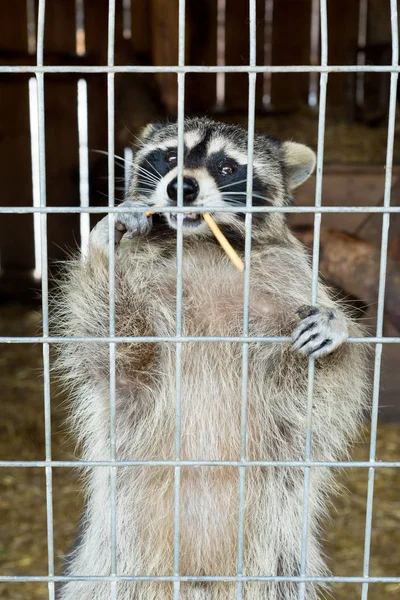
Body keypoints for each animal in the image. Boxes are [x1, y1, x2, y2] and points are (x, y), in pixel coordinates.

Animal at [54, 117, 370, 600]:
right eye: (170, 155)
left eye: (225, 166)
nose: (181, 186)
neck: (203, 244)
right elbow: (116, 358)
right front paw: (106, 246)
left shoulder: (286, 280)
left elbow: (324, 391)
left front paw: (336, 334)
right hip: (112, 561)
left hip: (277, 562)